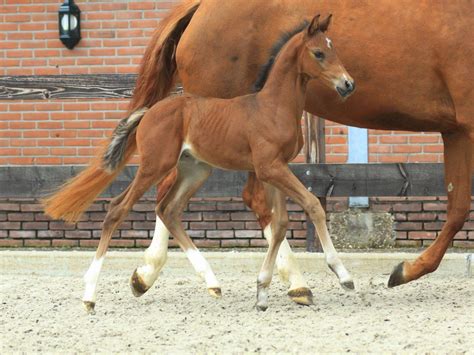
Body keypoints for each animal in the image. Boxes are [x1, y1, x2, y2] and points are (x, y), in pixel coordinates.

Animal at [45, 15, 356, 312]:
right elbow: (313, 206)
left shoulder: (275, 169)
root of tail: (148, 112)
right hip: (155, 166)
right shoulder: (270, 168)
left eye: (334, 49)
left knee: (168, 210)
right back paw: (89, 296)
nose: (348, 84)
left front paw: (263, 292)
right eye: (318, 53)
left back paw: (211, 282)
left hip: (195, 170)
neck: (272, 107)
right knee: (117, 209)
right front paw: (343, 276)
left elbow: (279, 223)